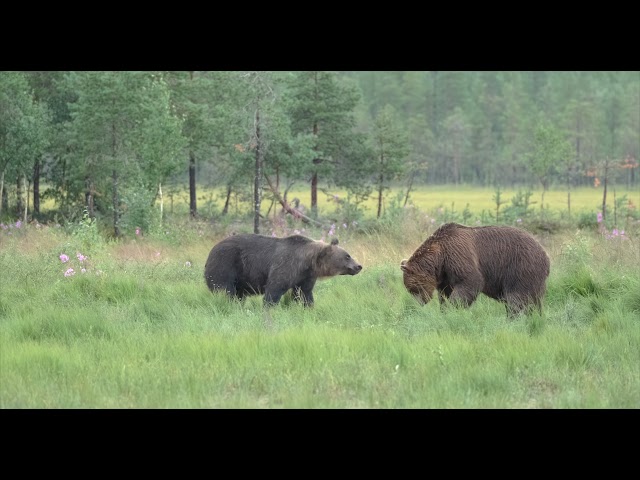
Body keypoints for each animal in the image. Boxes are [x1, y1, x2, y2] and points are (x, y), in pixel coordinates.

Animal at [206, 233, 362, 308]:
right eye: (347, 256)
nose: (359, 266)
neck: (307, 262)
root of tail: (212, 249)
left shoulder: (305, 276)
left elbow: (304, 293)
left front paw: (309, 307)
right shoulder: (286, 266)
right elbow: (274, 289)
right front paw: (269, 307)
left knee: (238, 295)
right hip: (225, 264)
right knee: (225, 289)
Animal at [400, 223, 552, 316]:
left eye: (413, 289)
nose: (419, 303)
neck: (440, 257)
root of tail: (546, 255)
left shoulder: (458, 256)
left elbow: (470, 281)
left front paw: (455, 308)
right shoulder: (445, 275)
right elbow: (444, 294)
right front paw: (444, 310)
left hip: (521, 267)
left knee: (517, 298)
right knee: (535, 300)